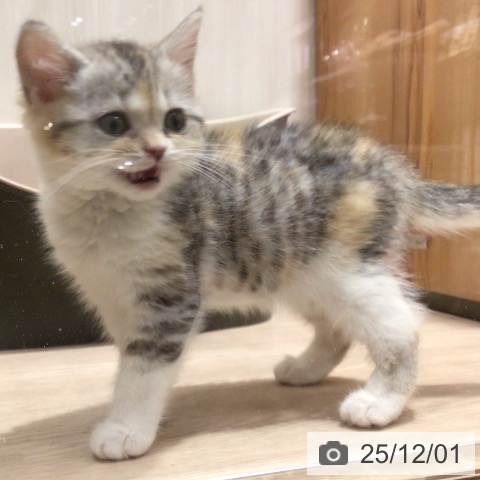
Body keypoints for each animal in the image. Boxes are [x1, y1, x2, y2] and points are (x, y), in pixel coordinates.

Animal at [15, 9, 480, 460]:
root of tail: (395, 166)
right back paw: (305, 369)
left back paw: (380, 401)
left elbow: (145, 365)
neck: (105, 213)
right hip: (297, 270)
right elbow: (134, 358)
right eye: (113, 123)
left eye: (174, 120)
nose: (158, 151)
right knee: (337, 328)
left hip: (346, 269)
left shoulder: (171, 295)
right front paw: (148, 413)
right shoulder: (114, 296)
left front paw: (126, 428)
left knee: (401, 324)